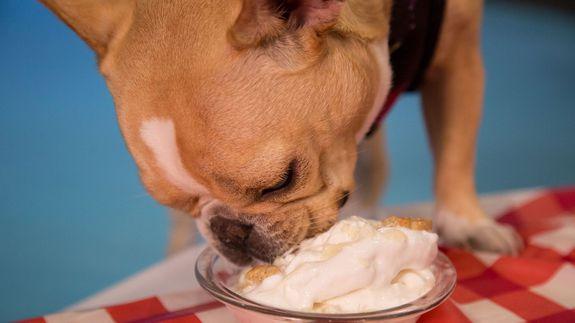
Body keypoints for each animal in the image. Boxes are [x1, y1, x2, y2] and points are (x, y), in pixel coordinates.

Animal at [42, 0, 524, 266]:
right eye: (179, 200)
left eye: (281, 181)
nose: (230, 231)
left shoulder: (460, 56)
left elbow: (456, 150)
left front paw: (467, 223)